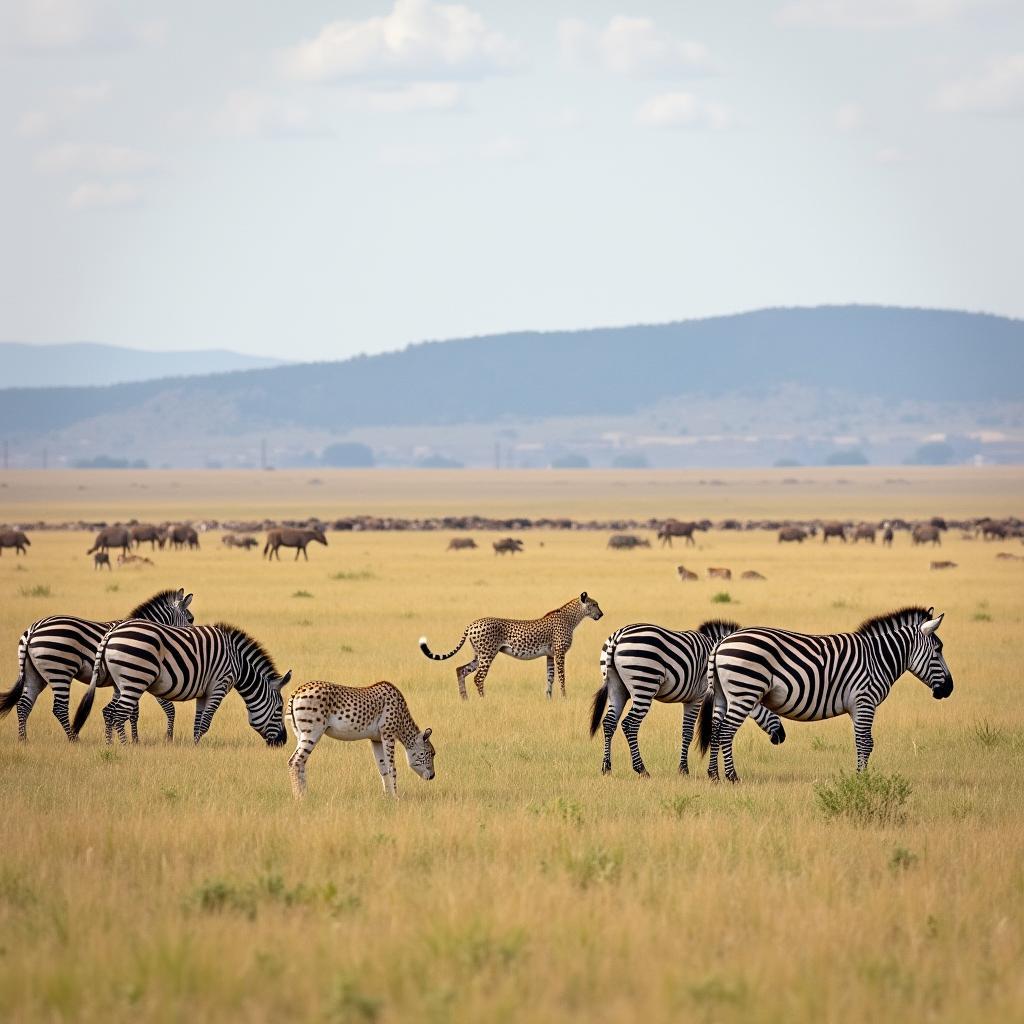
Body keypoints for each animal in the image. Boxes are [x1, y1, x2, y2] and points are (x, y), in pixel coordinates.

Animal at [0, 589, 193, 741]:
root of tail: (33, 628)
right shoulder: (142, 675)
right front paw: (162, 738)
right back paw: (74, 739)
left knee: (24, 705)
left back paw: (23, 740)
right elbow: (166, 708)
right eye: (190, 619)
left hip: (35, 673)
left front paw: (128, 739)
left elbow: (131, 712)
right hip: (59, 670)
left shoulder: (125, 681)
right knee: (59, 708)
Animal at [73, 618, 290, 749]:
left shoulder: (205, 691)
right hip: (135, 679)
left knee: (108, 711)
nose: (283, 742)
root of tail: (111, 633)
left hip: (120, 683)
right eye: (279, 709)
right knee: (119, 714)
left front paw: (195, 747)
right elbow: (205, 723)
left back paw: (109, 745)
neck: (238, 663)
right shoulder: (219, 685)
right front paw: (197, 749)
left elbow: (198, 722)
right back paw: (125, 747)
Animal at [419, 593, 602, 696]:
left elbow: (550, 678)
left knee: (461, 670)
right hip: (487, 654)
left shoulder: (550, 655)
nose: (601, 614)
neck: (571, 618)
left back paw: (465, 701)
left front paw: (549, 699)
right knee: (478, 678)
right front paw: (564, 697)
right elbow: (562, 677)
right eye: (594, 604)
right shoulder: (559, 653)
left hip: (479, 655)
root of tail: (472, 624)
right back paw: (483, 701)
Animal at [589, 614, 786, 774]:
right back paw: (641, 769)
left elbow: (694, 731)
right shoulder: (698, 697)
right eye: (771, 704)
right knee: (629, 724)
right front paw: (685, 769)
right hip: (643, 683)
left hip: (617, 687)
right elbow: (694, 731)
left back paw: (606, 767)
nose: (782, 736)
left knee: (609, 722)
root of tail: (618, 636)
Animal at [696, 602, 950, 778]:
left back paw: (714, 775)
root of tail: (721, 642)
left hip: (723, 695)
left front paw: (861, 777)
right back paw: (732, 777)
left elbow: (861, 741)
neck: (878, 658)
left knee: (716, 729)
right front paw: (862, 779)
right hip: (745, 692)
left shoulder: (857, 707)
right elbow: (866, 742)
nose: (949, 689)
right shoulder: (865, 701)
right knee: (726, 732)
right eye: (938, 650)